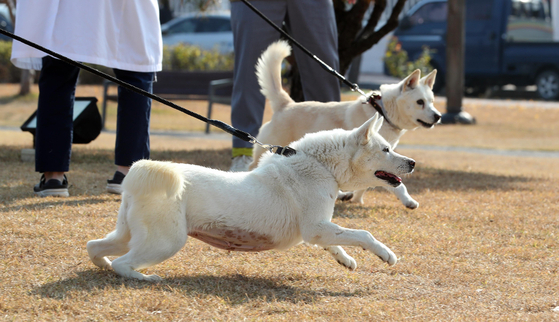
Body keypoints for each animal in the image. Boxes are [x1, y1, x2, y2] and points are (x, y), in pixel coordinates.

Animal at [88, 114, 416, 280]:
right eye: (386, 149)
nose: (413, 162)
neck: (319, 166)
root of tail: (138, 174)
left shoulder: (318, 229)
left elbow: (336, 242)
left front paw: (345, 260)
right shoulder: (316, 227)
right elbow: (362, 234)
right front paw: (386, 254)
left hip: (130, 235)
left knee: (95, 247)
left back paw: (102, 264)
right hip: (165, 242)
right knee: (123, 264)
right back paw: (144, 278)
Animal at [250, 41, 442, 209]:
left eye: (432, 101)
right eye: (420, 102)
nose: (438, 116)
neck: (382, 111)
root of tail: (285, 104)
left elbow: (368, 182)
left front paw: (356, 199)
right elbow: (395, 184)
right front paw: (408, 201)